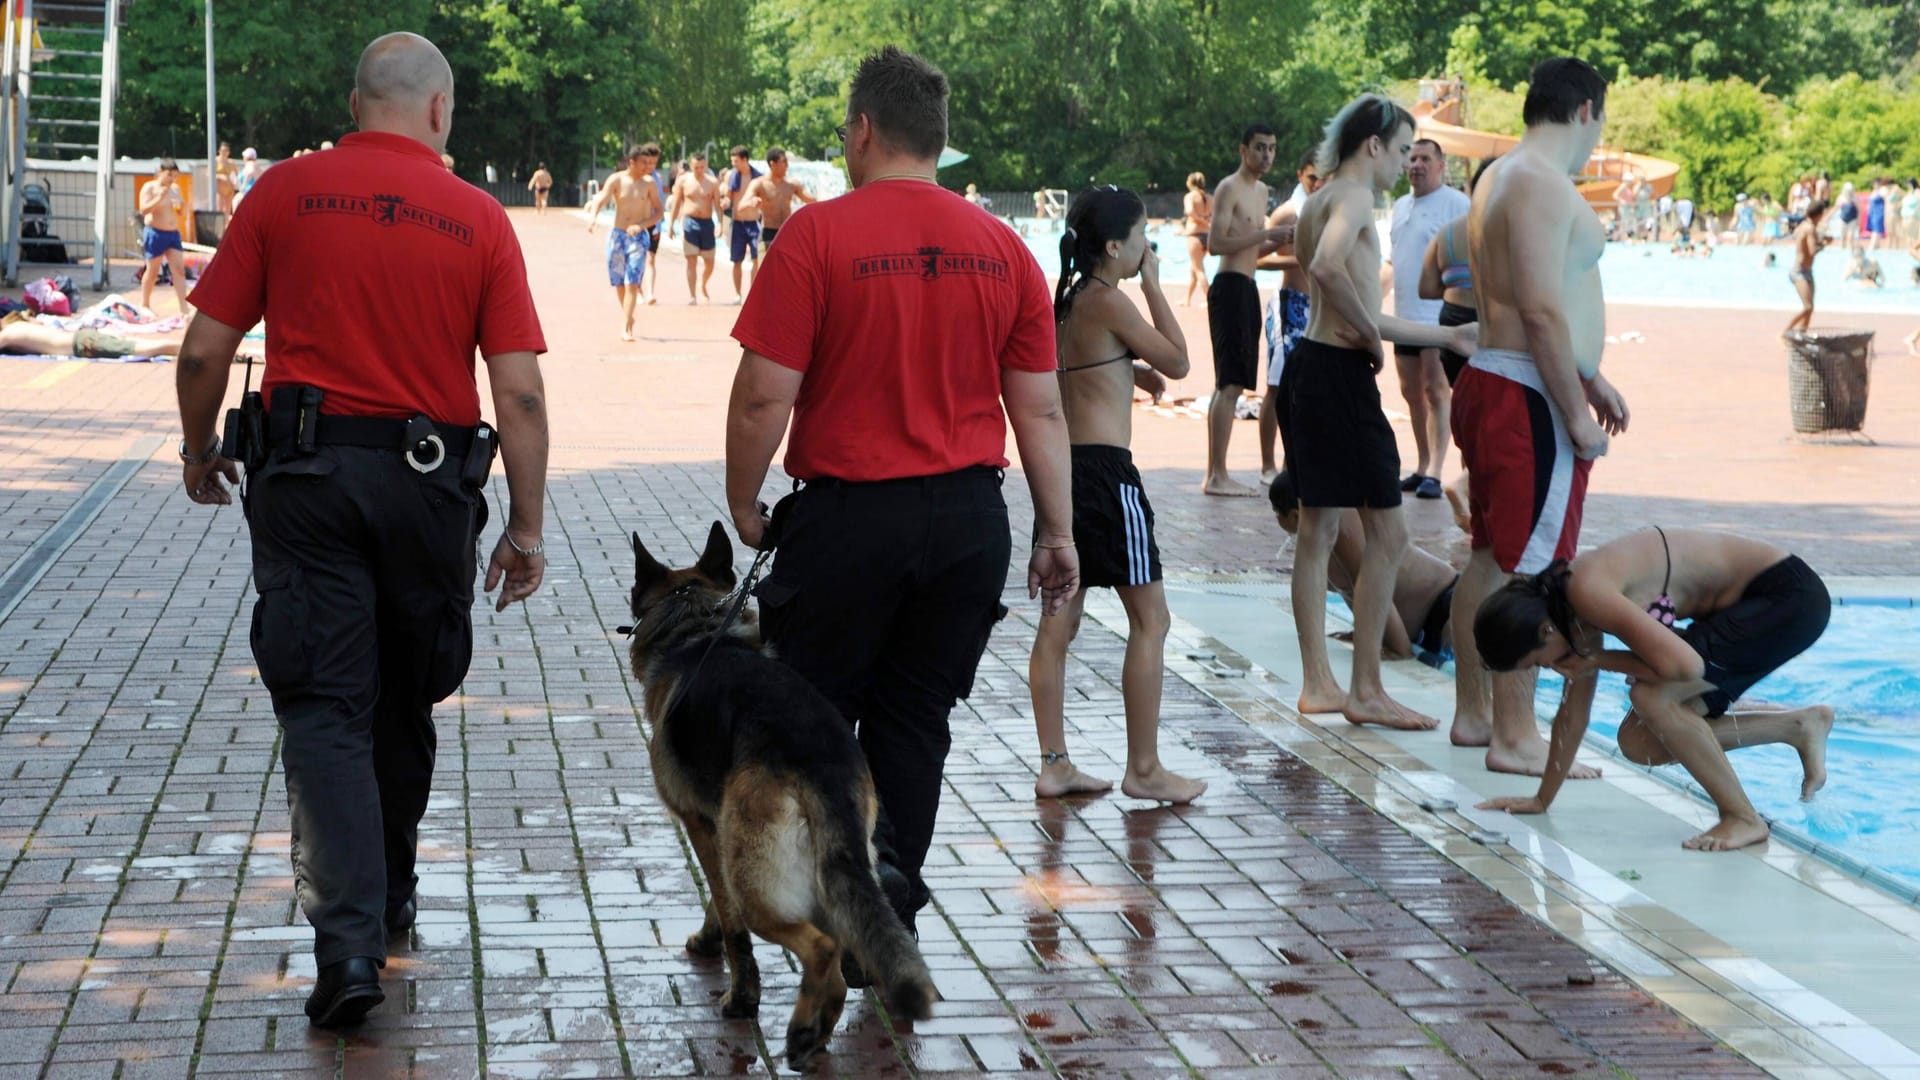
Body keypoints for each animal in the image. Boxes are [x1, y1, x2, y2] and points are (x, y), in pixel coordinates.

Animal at [625, 522, 933, 1068]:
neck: (695, 630)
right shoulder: (719, 827)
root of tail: (821, 761)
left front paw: (740, 993)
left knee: (821, 947)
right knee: (845, 945)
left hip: (760, 882)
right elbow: (718, 903)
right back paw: (817, 1030)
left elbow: (729, 919)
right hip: (833, 865)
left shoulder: (702, 826)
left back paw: (803, 1027)